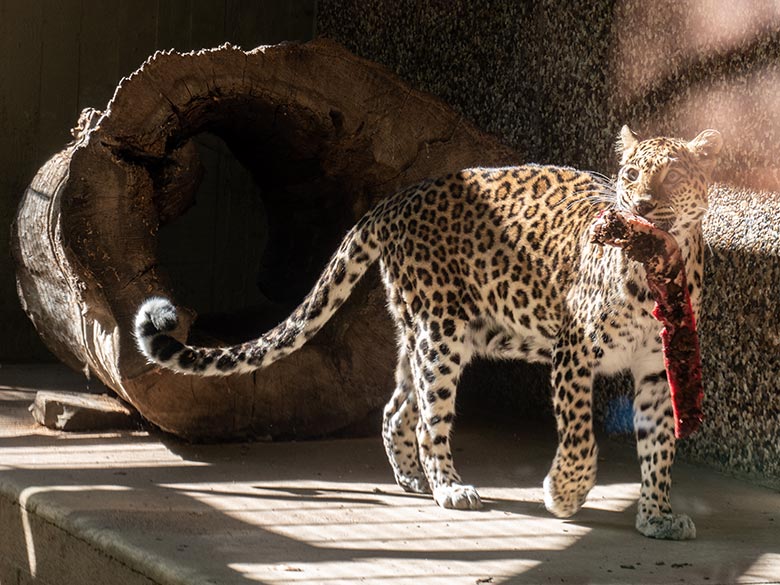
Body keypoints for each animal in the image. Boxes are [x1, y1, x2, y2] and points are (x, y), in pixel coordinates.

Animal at [136, 125, 724, 540]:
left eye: (671, 177)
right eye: (631, 175)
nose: (640, 207)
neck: (653, 278)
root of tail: (398, 198)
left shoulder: (659, 371)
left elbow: (659, 448)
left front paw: (657, 515)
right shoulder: (574, 350)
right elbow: (579, 433)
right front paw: (565, 493)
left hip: (421, 331)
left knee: (397, 406)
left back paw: (413, 480)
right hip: (442, 331)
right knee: (427, 418)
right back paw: (449, 487)